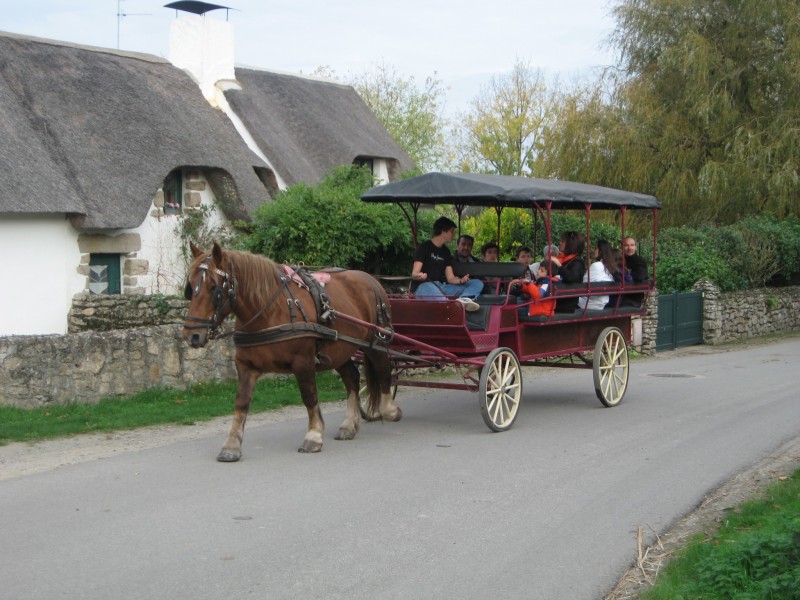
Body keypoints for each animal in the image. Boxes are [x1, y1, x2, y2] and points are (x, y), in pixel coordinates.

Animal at [184, 241, 404, 462]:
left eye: (214, 288)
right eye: (190, 287)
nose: (192, 336)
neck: (270, 309)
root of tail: (371, 278)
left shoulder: (303, 362)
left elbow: (309, 397)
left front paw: (314, 436)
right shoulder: (246, 366)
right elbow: (241, 402)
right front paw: (231, 445)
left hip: (375, 341)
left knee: (384, 370)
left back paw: (390, 410)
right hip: (340, 349)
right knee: (352, 378)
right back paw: (349, 424)